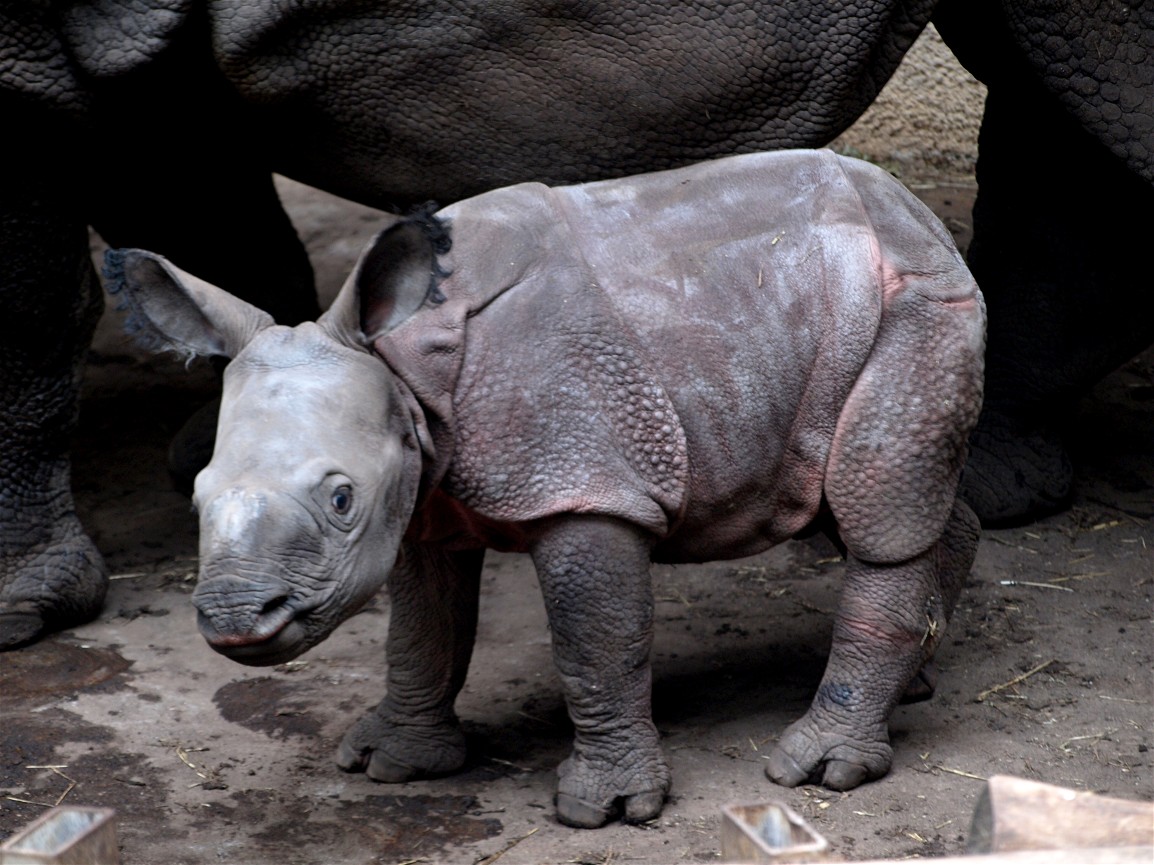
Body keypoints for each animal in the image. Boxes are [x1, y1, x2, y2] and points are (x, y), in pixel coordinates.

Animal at [105, 149, 985, 828]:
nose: (233, 619)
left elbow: (596, 640)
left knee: (877, 510)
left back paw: (822, 765)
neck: (400, 366)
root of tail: (915, 212)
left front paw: (608, 809)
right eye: (196, 495)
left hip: (917, 300)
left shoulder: (584, 482)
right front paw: (394, 763)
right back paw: (914, 686)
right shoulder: (424, 496)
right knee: (869, 498)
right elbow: (423, 627)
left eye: (340, 498)